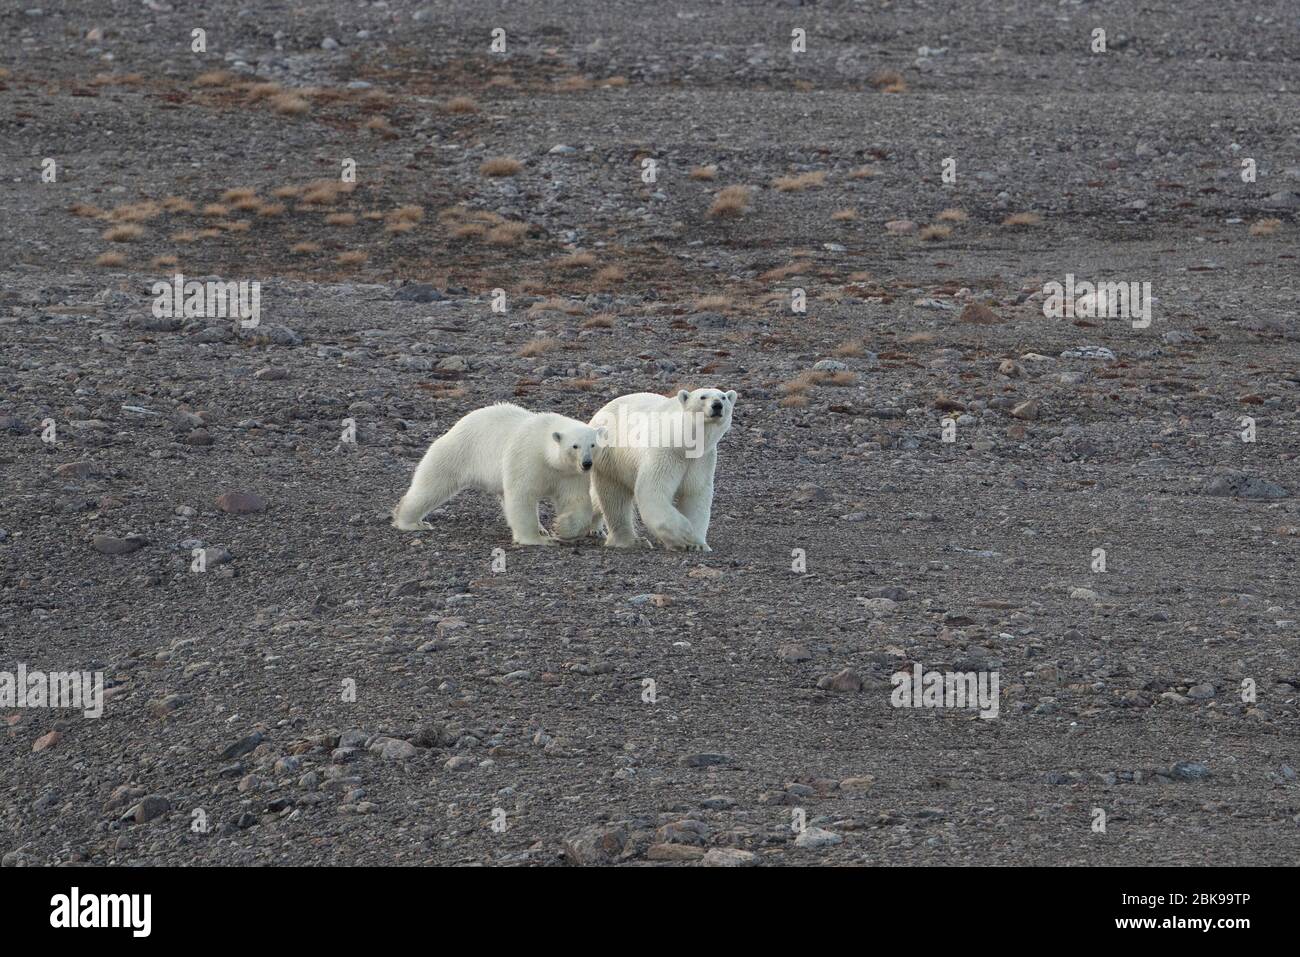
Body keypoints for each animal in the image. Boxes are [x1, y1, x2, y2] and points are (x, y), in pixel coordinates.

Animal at [392, 403, 600, 546]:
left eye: (592, 444)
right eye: (575, 446)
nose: (586, 463)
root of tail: (458, 424)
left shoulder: (568, 474)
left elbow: (576, 499)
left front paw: (560, 527)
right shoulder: (527, 458)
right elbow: (521, 495)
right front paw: (536, 539)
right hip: (457, 451)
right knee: (432, 485)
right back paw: (412, 522)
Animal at [592, 390, 738, 553]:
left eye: (723, 397)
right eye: (703, 397)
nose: (717, 405)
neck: (683, 442)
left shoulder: (701, 460)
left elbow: (695, 495)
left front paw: (699, 544)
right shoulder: (665, 452)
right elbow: (653, 491)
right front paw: (685, 534)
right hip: (611, 456)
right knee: (614, 497)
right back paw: (632, 541)